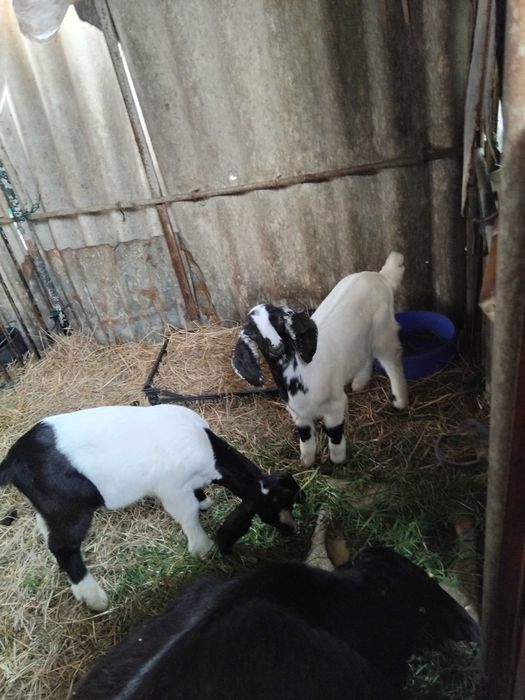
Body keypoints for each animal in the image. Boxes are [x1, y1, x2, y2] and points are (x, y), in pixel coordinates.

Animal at [0, 404, 301, 611]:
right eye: (275, 506)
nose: (292, 531)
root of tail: (13, 461)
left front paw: (205, 501)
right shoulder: (172, 489)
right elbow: (188, 517)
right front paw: (203, 549)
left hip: (49, 507)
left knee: (45, 530)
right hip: (70, 509)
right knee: (63, 547)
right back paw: (95, 599)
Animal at [232, 252, 408, 466]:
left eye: (279, 321)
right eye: (253, 333)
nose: (276, 347)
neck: (302, 373)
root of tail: (380, 276)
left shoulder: (334, 405)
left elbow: (334, 433)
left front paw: (337, 461)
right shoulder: (299, 415)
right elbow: (305, 437)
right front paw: (306, 462)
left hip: (383, 332)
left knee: (392, 361)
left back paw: (400, 400)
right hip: (362, 338)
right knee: (365, 355)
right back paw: (360, 382)